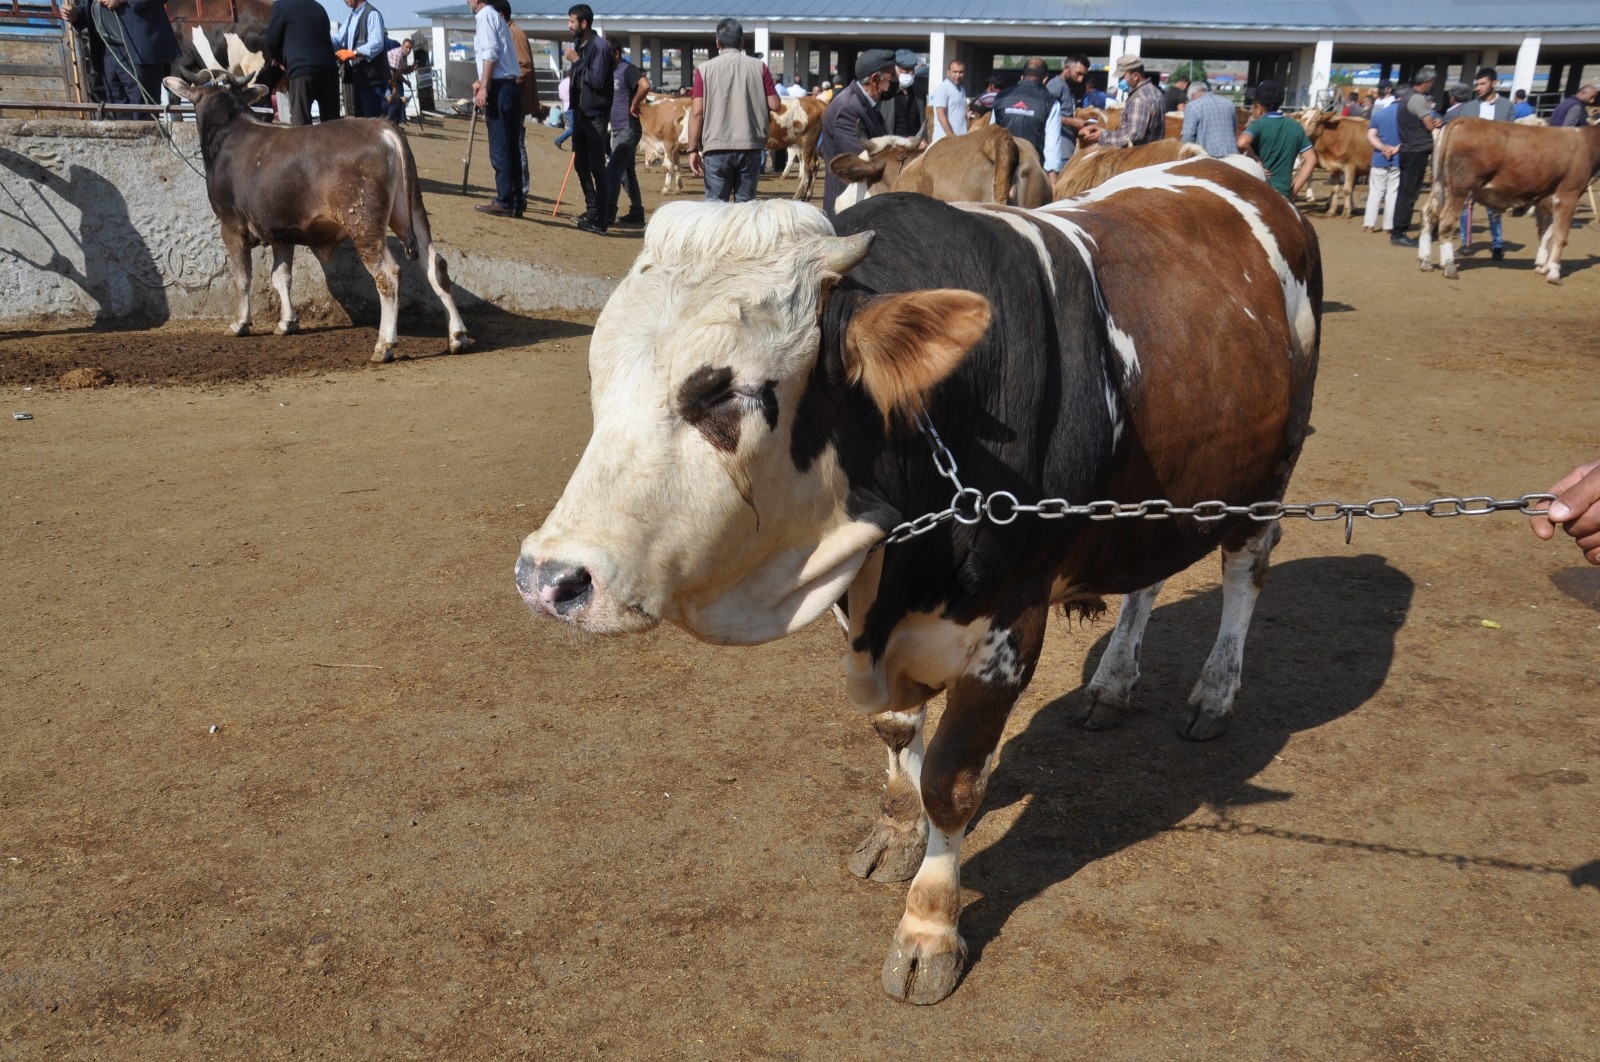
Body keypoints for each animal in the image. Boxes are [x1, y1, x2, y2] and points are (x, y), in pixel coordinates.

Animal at [164, 77, 470, 361]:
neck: (229, 131)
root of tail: (381, 127)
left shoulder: (231, 227)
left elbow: (242, 278)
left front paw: (240, 324)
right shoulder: (281, 231)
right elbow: (281, 277)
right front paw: (287, 323)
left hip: (364, 222)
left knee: (388, 275)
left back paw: (384, 344)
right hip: (410, 212)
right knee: (436, 266)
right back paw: (457, 336)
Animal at [1420, 116, 1600, 281]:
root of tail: (1463, 120)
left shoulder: (1545, 200)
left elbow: (1546, 233)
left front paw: (1542, 265)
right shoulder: (1569, 194)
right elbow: (1560, 235)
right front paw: (1554, 272)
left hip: (1440, 185)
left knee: (1429, 213)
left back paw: (1425, 261)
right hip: (1460, 190)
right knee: (1446, 221)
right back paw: (1449, 267)